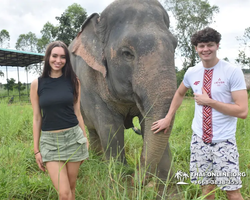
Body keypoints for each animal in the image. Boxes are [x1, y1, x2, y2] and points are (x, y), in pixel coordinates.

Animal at [68, 0, 178, 184]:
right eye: (127, 53)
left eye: (175, 45)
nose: (138, 177)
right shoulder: (88, 80)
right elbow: (110, 128)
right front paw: (121, 179)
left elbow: (148, 123)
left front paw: (165, 182)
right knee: (92, 129)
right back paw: (96, 160)